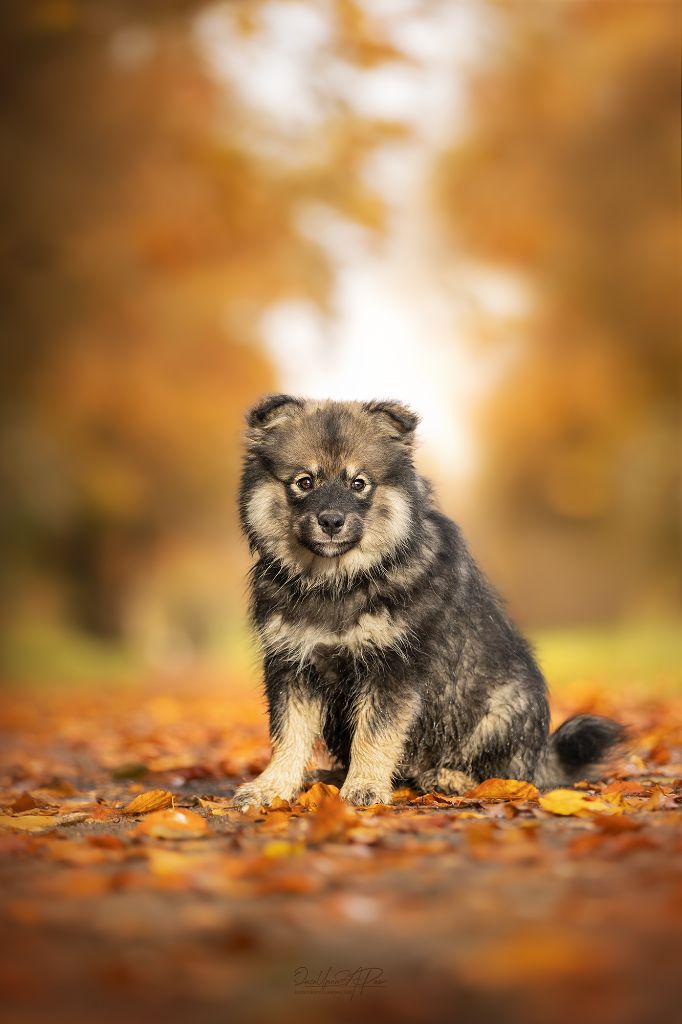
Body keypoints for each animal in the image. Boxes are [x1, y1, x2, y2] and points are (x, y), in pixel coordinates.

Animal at [233, 393, 622, 806]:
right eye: (304, 482)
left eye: (359, 483)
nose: (332, 521)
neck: (337, 581)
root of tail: (542, 757)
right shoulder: (292, 664)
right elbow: (288, 735)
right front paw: (271, 787)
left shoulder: (391, 667)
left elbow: (375, 734)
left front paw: (366, 786)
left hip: (504, 710)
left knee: (507, 774)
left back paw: (450, 778)